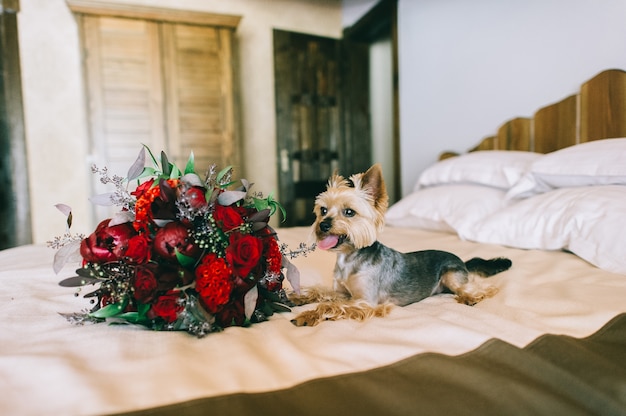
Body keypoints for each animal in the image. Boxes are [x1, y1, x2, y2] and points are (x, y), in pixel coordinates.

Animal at [290, 164, 510, 326]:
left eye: (349, 212)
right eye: (323, 210)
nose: (323, 225)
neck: (349, 257)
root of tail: (462, 261)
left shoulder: (365, 302)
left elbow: (331, 306)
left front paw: (307, 315)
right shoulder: (341, 292)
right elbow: (322, 292)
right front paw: (298, 297)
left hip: (452, 276)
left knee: (481, 288)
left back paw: (471, 297)